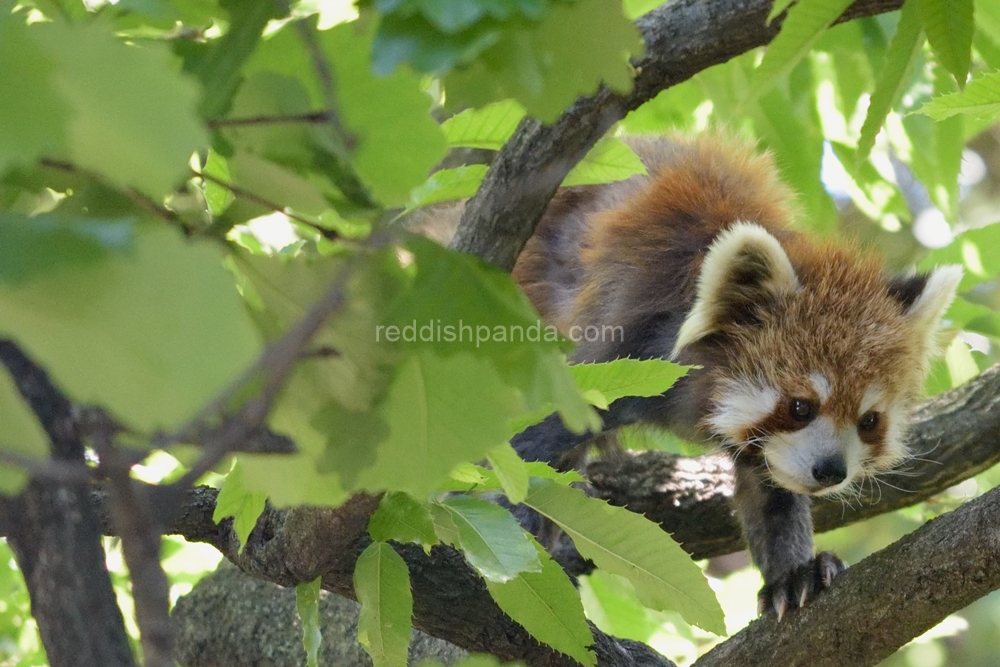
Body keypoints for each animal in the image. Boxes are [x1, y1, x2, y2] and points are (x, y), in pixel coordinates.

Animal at [508, 134, 960, 620]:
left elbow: (771, 495)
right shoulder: (623, 359)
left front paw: (793, 574)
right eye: (801, 406)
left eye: (869, 421)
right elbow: (528, 456)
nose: (830, 470)